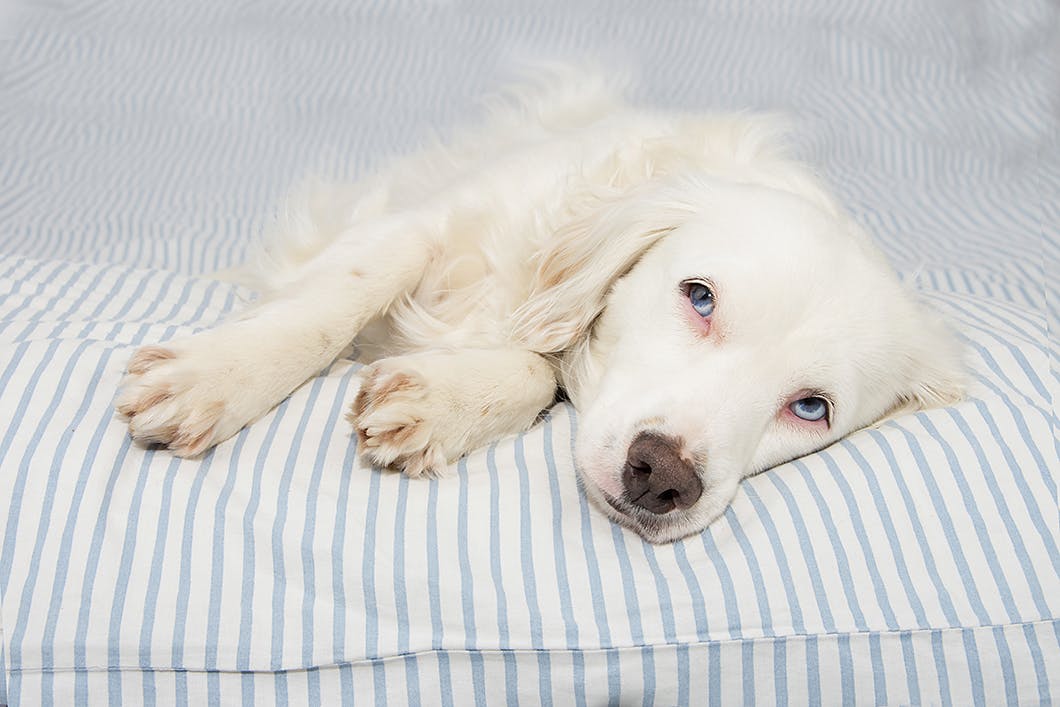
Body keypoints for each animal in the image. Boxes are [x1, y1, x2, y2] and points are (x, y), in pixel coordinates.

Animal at [113, 72, 962, 546]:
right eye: (699, 297)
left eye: (812, 407)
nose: (662, 476)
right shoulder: (421, 222)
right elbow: (338, 297)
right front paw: (214, 376)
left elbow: (533, 371)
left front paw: (440, 400)